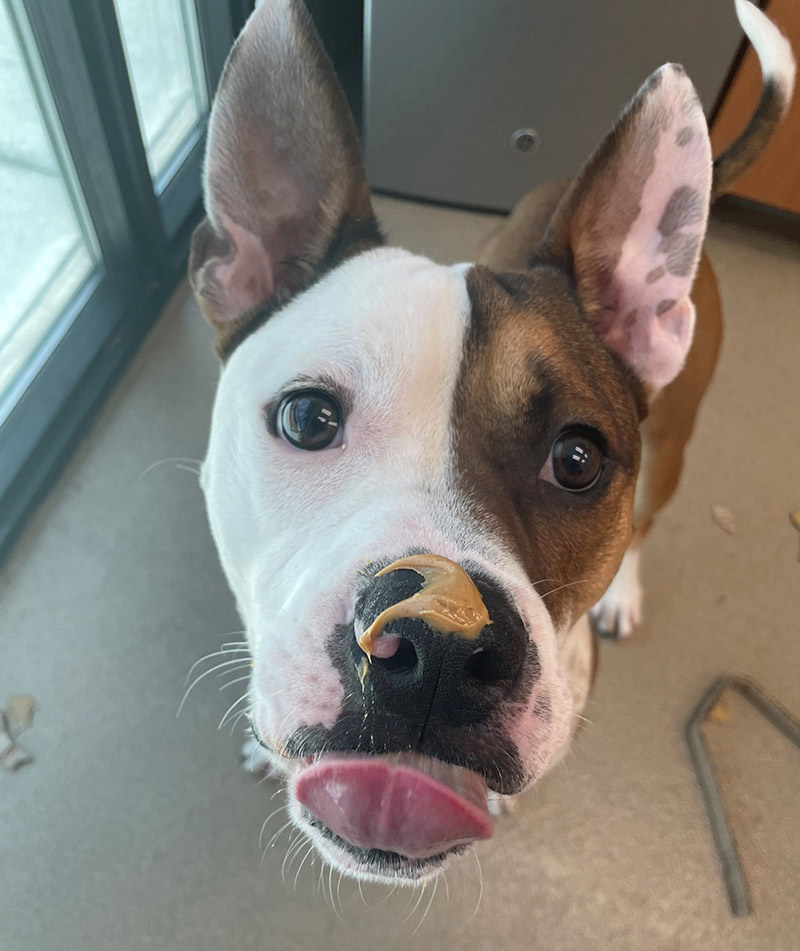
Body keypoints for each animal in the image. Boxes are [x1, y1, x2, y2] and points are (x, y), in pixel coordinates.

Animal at [188, 0, 792, 884]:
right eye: (307, 419)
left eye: (577, 459)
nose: (440, 641)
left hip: (674, 450)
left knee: (649, 519)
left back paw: (624, 591)